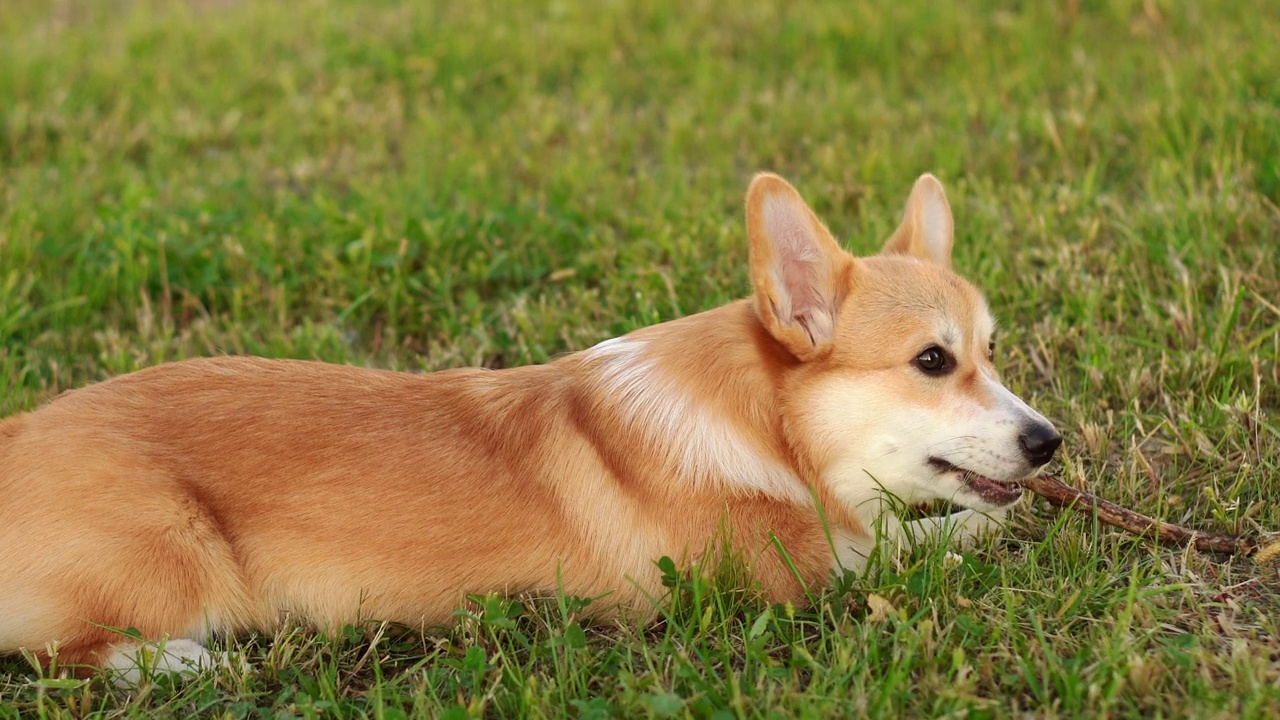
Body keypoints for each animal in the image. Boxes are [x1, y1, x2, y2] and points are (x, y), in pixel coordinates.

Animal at [0, 170, 1059, 676]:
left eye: (992, 350)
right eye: (932, 361)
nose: (1049, 442)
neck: (764, 423)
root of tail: (13, 435)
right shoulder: (798, 574)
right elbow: (918, 540)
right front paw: (995, 530)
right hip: (175, 556)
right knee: (59, 650)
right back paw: (171, 662)